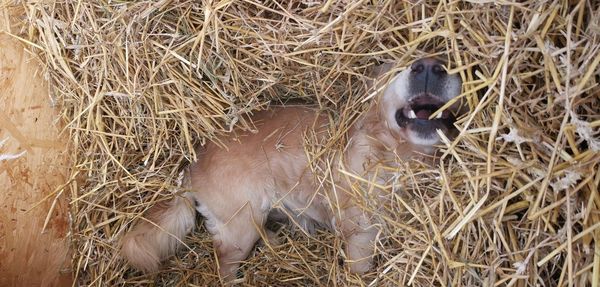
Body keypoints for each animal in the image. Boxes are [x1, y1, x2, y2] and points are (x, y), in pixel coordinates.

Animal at [119, 57, 462, 282]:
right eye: (398, 66)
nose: (429, 66)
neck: (394, 154)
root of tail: (193, 163)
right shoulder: (360, 235)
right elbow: (361, 270)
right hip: (240, 224)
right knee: (224, 263)